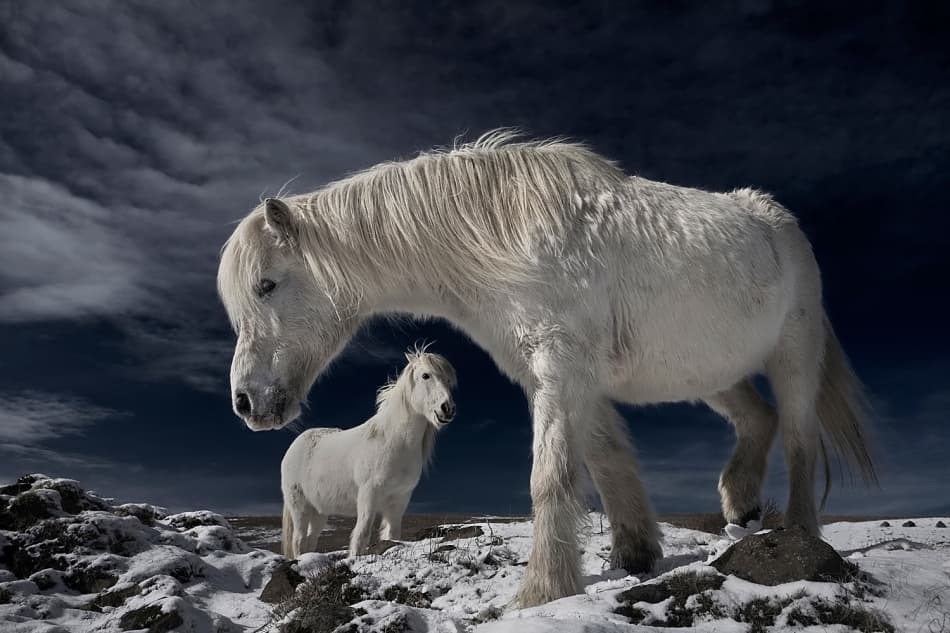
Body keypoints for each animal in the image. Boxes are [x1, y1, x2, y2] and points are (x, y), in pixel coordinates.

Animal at [280, 348, 457, 559]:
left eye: (448, 380)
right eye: (425, 375)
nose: (447, 409)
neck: (394, 442)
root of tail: (294, 447)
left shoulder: (399, 500)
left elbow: (393, 535)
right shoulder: (368, 495)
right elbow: (361, 534)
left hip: (319, 511)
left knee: (310, 540)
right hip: (300, 507)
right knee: (298, 540)